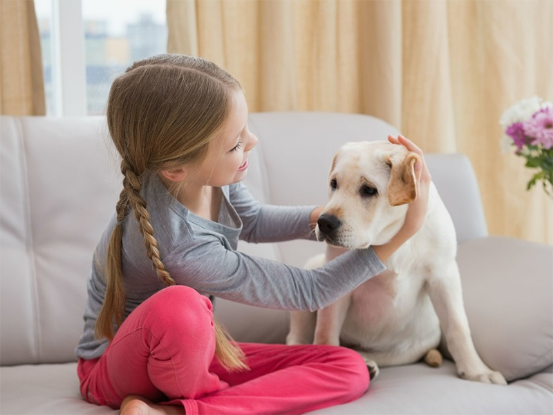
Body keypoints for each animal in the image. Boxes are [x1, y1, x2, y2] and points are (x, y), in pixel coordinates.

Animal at [286, 141, 506, 386]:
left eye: (369, 190)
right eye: (334, 184)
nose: (324, 222)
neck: (389, 238)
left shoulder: (444, 274)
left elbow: (458, 326)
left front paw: (477, 370)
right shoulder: (333, 282)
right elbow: (325, 332)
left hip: (410, 347)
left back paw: (367, 363)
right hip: (312, 270)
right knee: (296, 337)